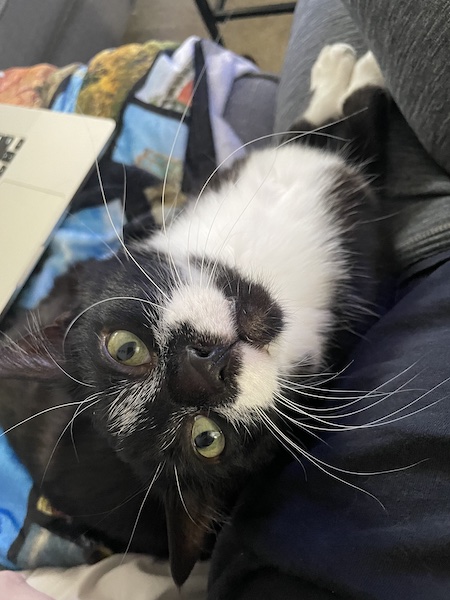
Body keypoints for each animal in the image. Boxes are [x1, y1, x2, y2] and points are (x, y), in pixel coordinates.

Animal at [0, 45, 390, 584]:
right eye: (207, 439)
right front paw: (354, 73)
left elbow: (303, 139)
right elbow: (347, 134)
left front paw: (334, 74)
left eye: (125, 349)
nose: (206, 368)